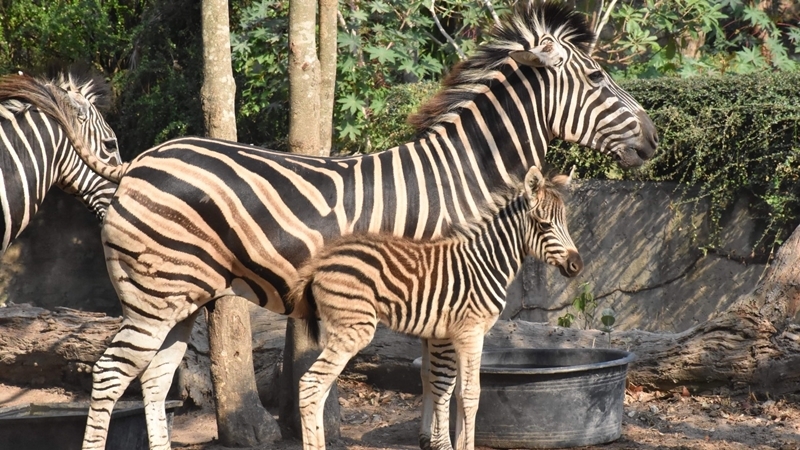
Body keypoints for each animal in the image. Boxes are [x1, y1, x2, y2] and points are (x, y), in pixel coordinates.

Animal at [291, 165, 580, 450]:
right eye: (544, 224)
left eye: (565, 222)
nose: (576, 265)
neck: (485, 263)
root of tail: (320, 261)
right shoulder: (470, 332)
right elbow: (470, 394)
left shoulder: (457, 335)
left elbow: (457, 392)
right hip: (353, 328)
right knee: (310, 384)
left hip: (338, 329)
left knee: (321, 389)